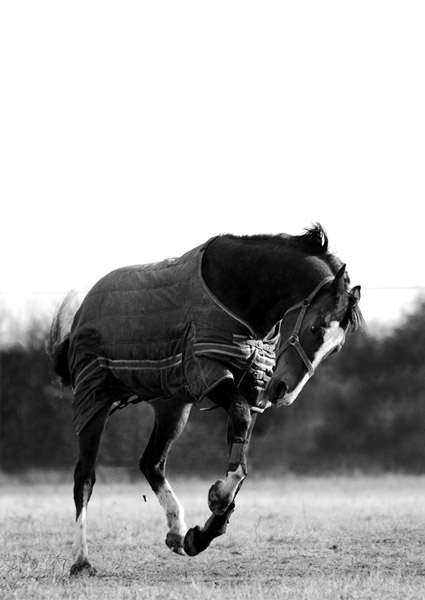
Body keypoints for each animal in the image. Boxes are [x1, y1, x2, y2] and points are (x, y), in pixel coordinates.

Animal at [48, 223, 362, 576]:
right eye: (315, 328)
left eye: (336, 347)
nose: (284, 391)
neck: (239, 290)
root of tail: (81, 315)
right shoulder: (209, 373)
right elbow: (239, 433)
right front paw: (217, 499)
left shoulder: (249, 389)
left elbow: (240, 454)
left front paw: (200, 534)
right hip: (95, 401)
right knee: (84, 479)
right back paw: (81, 560)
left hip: (172, 406)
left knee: (151, 463)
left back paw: (176, 531)